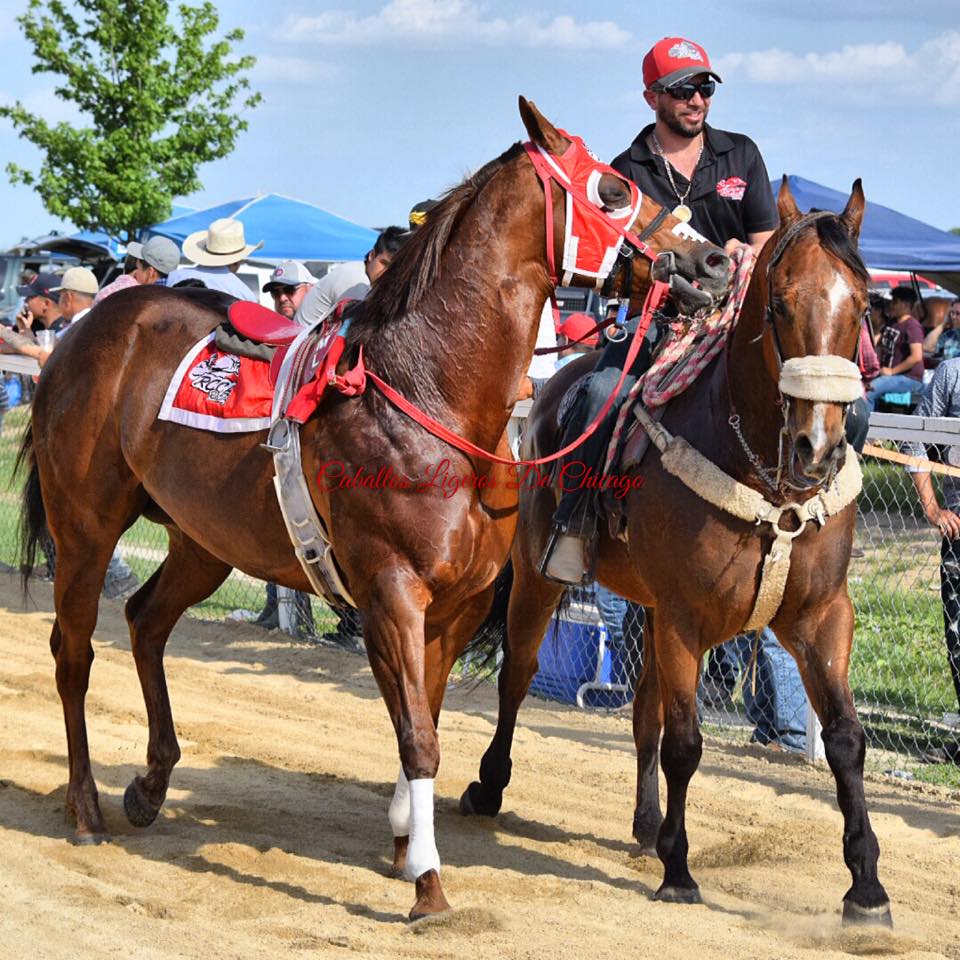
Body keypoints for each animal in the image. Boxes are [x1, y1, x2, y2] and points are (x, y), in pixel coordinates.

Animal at [17, 97, 731, 920]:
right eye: (614, 190)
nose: (715, 263)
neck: (430, 397)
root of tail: (89, 329)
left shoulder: (455, 607)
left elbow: (426, 717)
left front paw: (402, 839)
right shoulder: (391, 592)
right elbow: (417, 734)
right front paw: (427, 882)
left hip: (205, 543)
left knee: (144, 623)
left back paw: (149, 783)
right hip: (86, 526)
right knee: (73, 654)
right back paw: (86, 808)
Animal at [460, 180, 894, 926]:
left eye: (862, 305)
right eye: (780, 304)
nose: (817, 447)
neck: (765, 477)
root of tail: (545, 393)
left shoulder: (820, 616)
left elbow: (844, 738)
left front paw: (865, 887)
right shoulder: (686, 618)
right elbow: (687, 743)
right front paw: (680, 873)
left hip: (652, 610)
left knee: (643, 712)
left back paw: (646, 826)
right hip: (544, 578)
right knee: (519, 673)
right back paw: (490, 786)